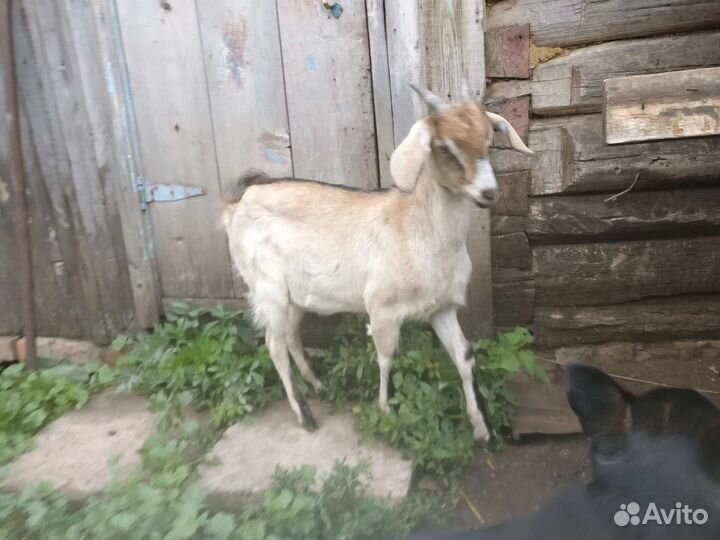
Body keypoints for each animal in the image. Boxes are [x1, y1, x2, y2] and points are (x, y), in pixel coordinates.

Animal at [223, 84, 532, 440]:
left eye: (488, 141)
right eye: (444, 146)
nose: (488, 192)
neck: (418, 229)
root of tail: (239, 201)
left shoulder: (442, 308)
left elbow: (465, 357)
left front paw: (482, 428)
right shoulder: (383, 309)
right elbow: (387, 358)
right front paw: (385, 410)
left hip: (295, 294)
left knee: (289, 335)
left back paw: (317, 384)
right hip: (267, 287)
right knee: (274, 344)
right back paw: (304, 414)